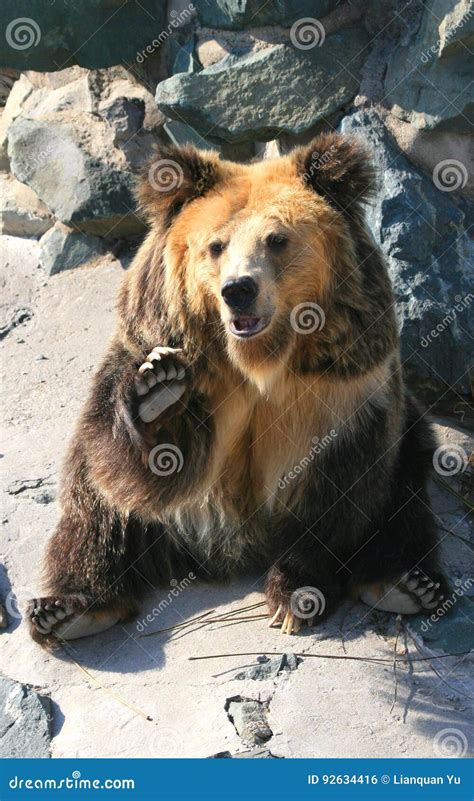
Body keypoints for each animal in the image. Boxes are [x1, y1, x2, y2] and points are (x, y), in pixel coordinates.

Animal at [26, 130, 448, 644]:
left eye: (277, 239)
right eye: (216, 245)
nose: (239, 290)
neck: (258, 360)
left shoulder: (344, 388)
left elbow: (338, 486)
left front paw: (295, 595)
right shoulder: (166, 354)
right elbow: (136, 472)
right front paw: (157, 394)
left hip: (409, 436)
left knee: (407, 498)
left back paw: (405, 584)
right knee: (92, 506)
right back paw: (71, 608)